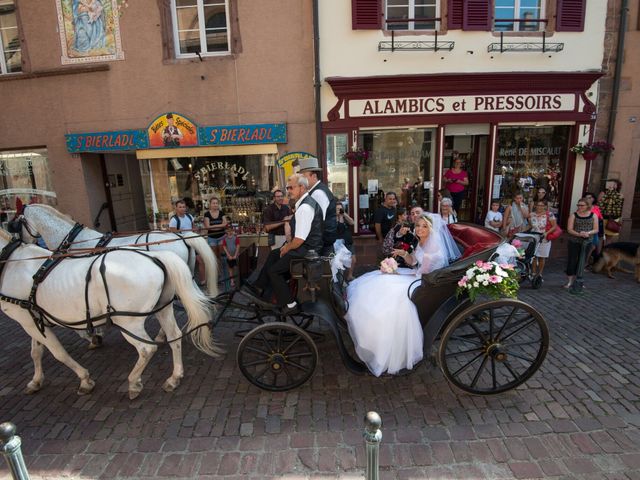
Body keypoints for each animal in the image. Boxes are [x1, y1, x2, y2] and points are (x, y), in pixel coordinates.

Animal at [0, 229, 225, 398]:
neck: (13, 263)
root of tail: (155, 257)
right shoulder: (33, 318)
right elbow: (36, 352)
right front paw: (35, 381)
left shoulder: (27, 321)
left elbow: (58, 353)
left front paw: (85, 379)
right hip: (163, 308)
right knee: (174, 337)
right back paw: (174, 377)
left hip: (128, 322)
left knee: (146, 349)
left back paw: (134, 383)